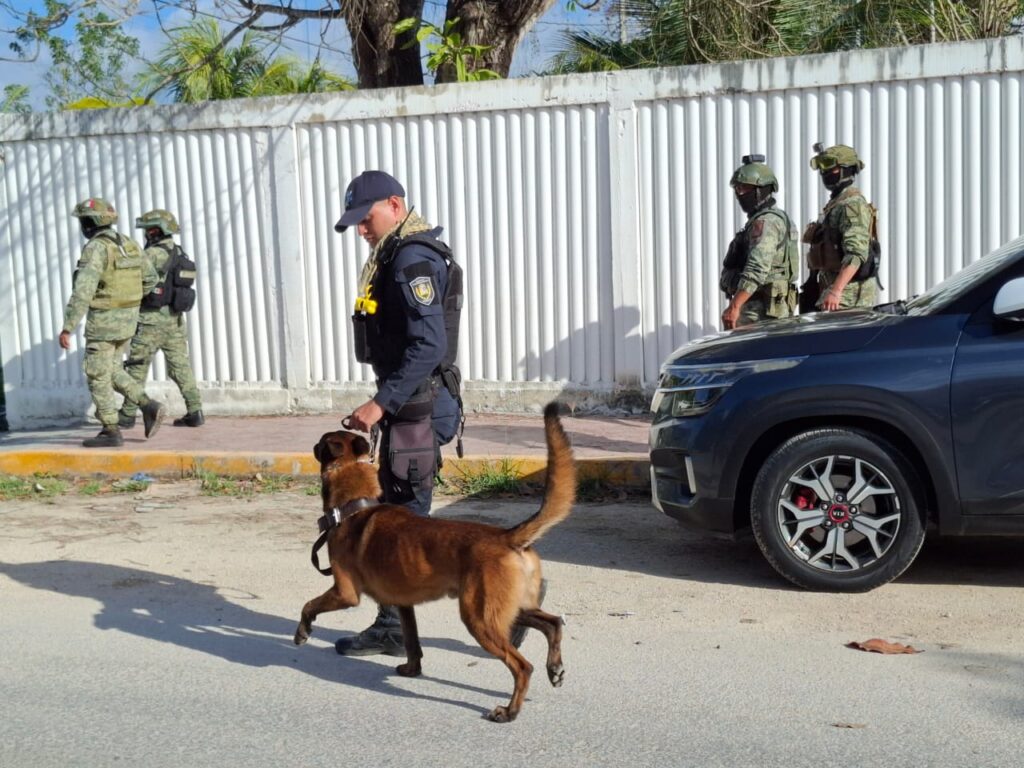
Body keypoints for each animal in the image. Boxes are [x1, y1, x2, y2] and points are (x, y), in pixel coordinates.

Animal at [296, 405, 577, 724]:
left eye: (322, 441)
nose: (313, 444)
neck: (355, 506)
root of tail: (507, 536)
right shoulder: (404, 606)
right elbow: (412, 642)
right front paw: (411, 670)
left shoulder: (344, 593)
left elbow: (308, 605)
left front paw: (302, 633)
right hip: (508, 608)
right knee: (553, 623)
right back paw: (554, 668)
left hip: (479, 618)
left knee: (522, 666)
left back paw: (510, 711)